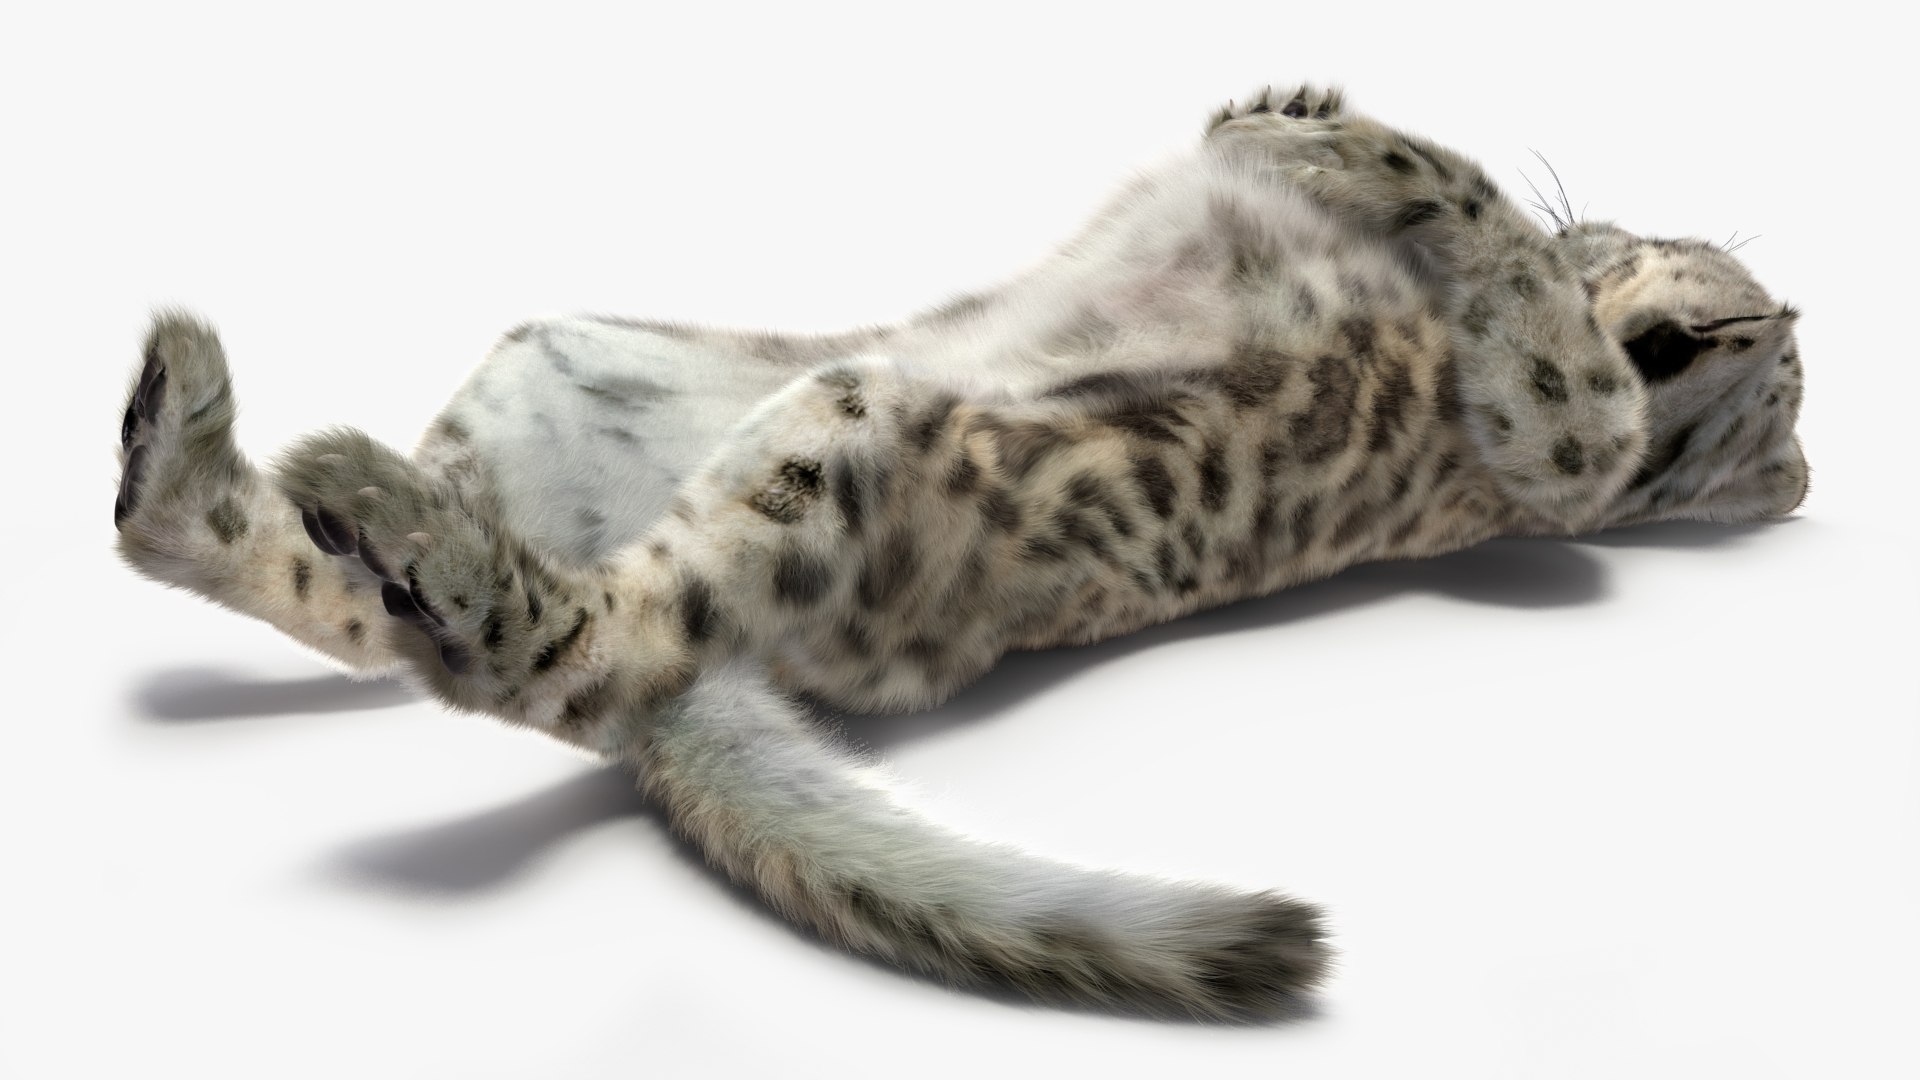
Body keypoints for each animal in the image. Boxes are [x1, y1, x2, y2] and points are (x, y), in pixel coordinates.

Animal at [112, 85, 1809, 1021]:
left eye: (1719, 333)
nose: (1636, 277)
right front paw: (1287, 110)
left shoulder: (1561, 446)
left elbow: (1505, 278)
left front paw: (1322, 140)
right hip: (564, 361)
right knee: (360, 614)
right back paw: (200, 435)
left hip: (843, 444)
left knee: (565, 654)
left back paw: (353, 498)